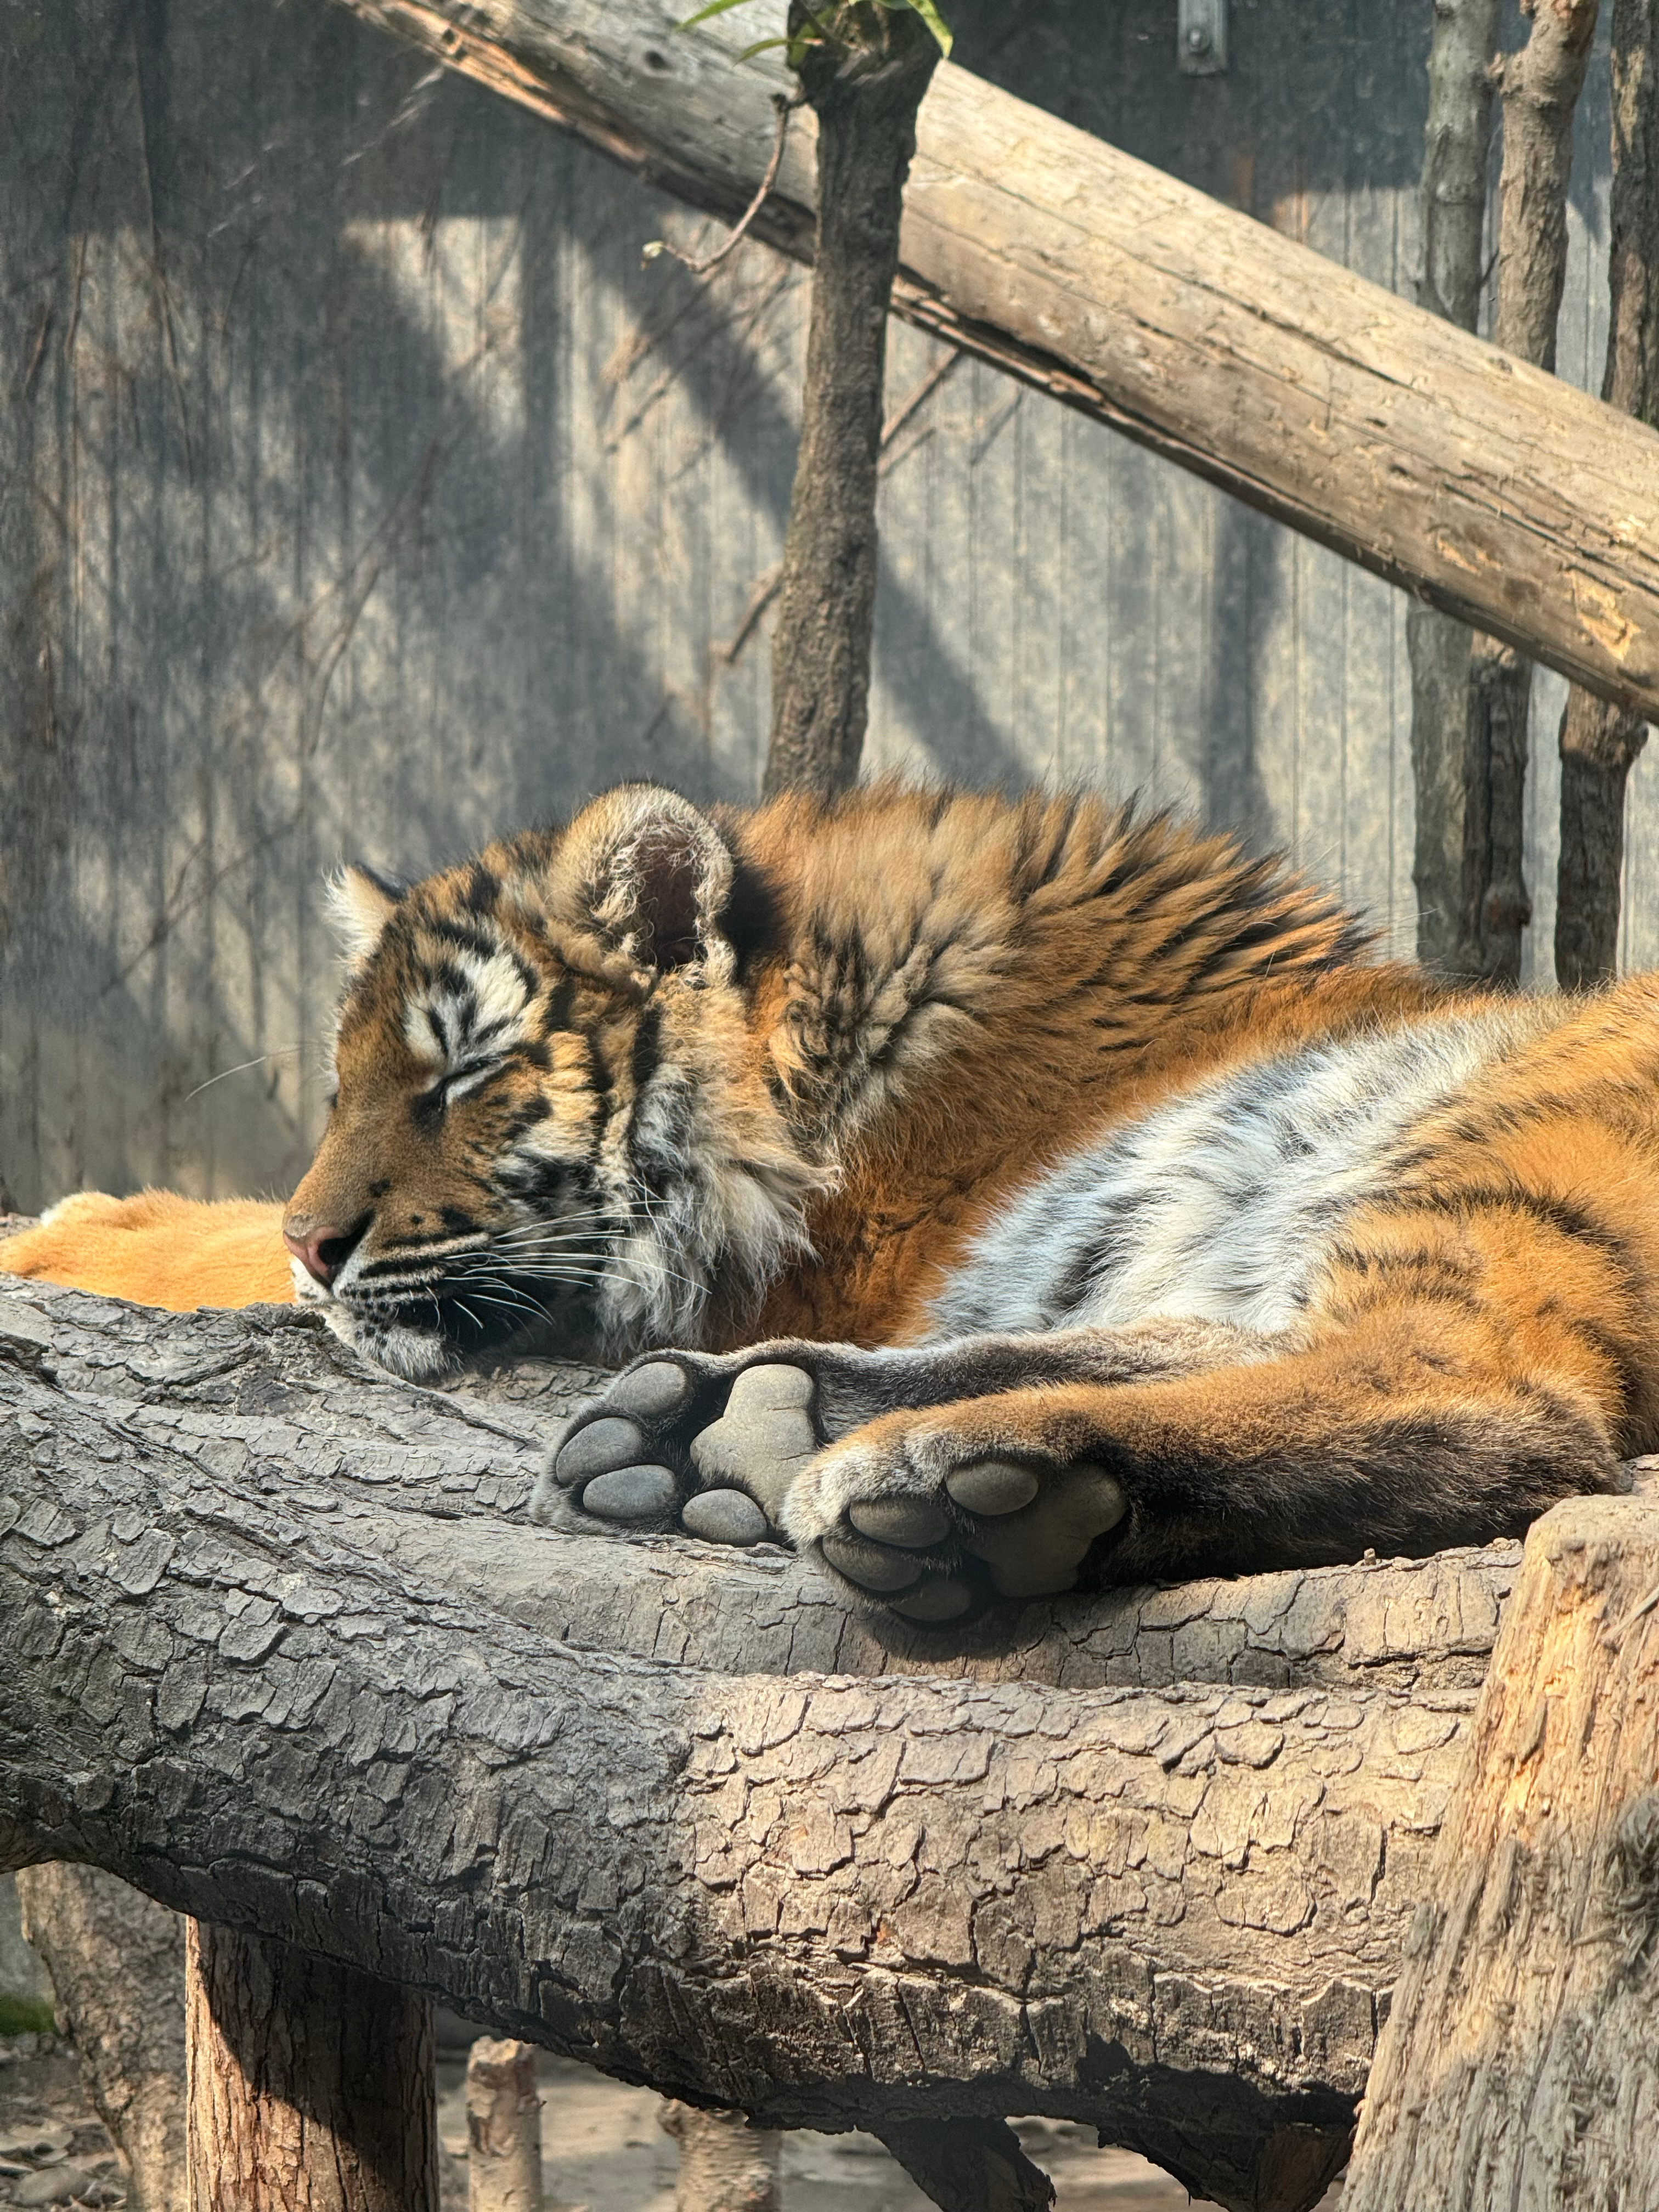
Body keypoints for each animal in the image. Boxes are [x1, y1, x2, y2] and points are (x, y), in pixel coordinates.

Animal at [6, 783, 1654, 1628]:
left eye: (462, 1072)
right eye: (340, 1086)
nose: (319, 1241)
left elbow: (218, 1240)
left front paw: (65, 1228)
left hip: (1499, 1154)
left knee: (1496, 1397)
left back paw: (960, 1478)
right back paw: (728, 1431)